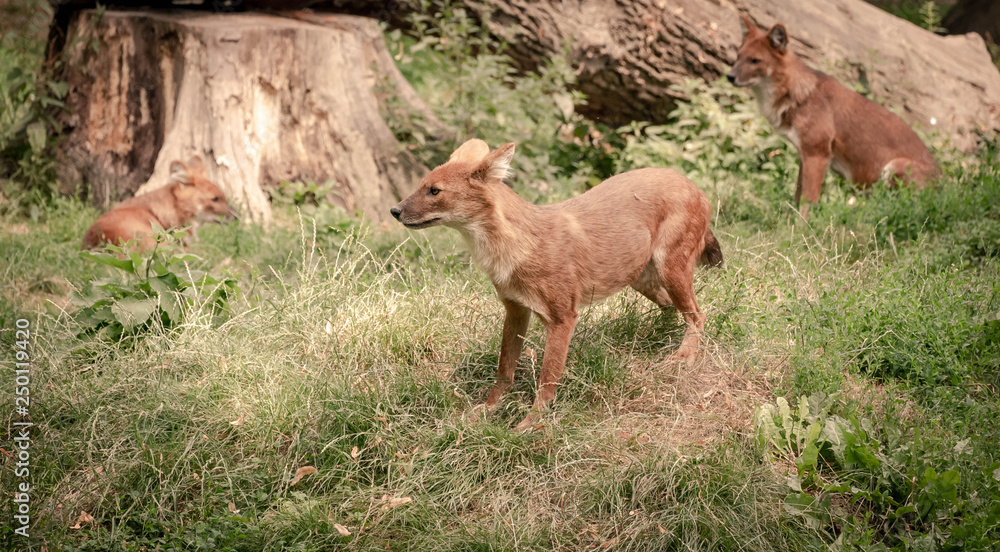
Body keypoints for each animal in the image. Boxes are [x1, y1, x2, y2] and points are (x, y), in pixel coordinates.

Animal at [390, 139, 723, 431]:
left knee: (698, 314)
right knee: (673, 308)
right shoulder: (515, 310)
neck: (511, 246)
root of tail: (696, 186)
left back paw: (683, 357)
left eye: (434, 191)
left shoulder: (562, 317)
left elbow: (547, 378)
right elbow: (504, 370)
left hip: (671, 269)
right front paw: (486, 410)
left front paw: (530, 424)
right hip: (641, 278)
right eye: (420, 185)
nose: (394, 210)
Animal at [727, 15, 939, 214]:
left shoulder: (818, 155)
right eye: (738, 56)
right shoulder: (805, 155)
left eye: (755, 60)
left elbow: (808, 200)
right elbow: (798, 195)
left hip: (896, 165)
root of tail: (943, 186)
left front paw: (801, 226)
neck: (800, 93)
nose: (729, 76)